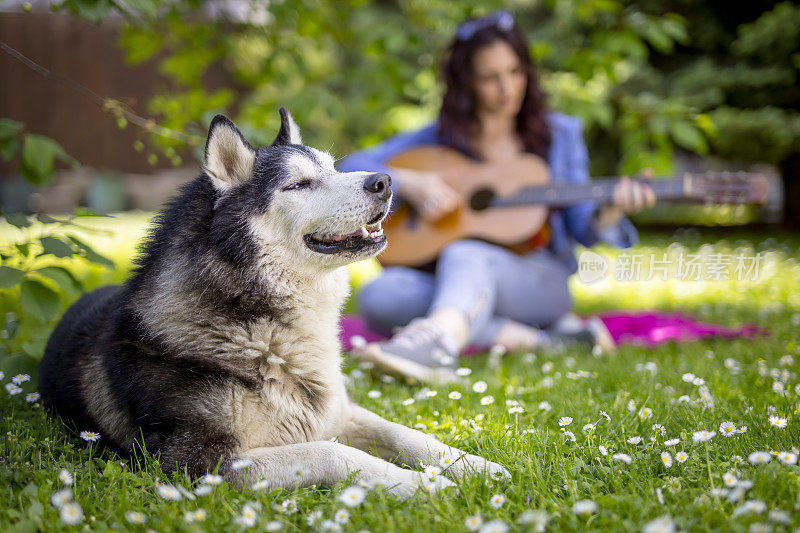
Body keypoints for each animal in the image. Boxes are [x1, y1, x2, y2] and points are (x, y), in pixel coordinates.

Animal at [39, 109, 506, 494]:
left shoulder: (339, 413)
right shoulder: (195, 465)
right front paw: (422, 484)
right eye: (299, 184)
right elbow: (330, 452)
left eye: (333, 168)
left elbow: (407, 433)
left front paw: (474, 466)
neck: (263, 328)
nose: (385, 181)